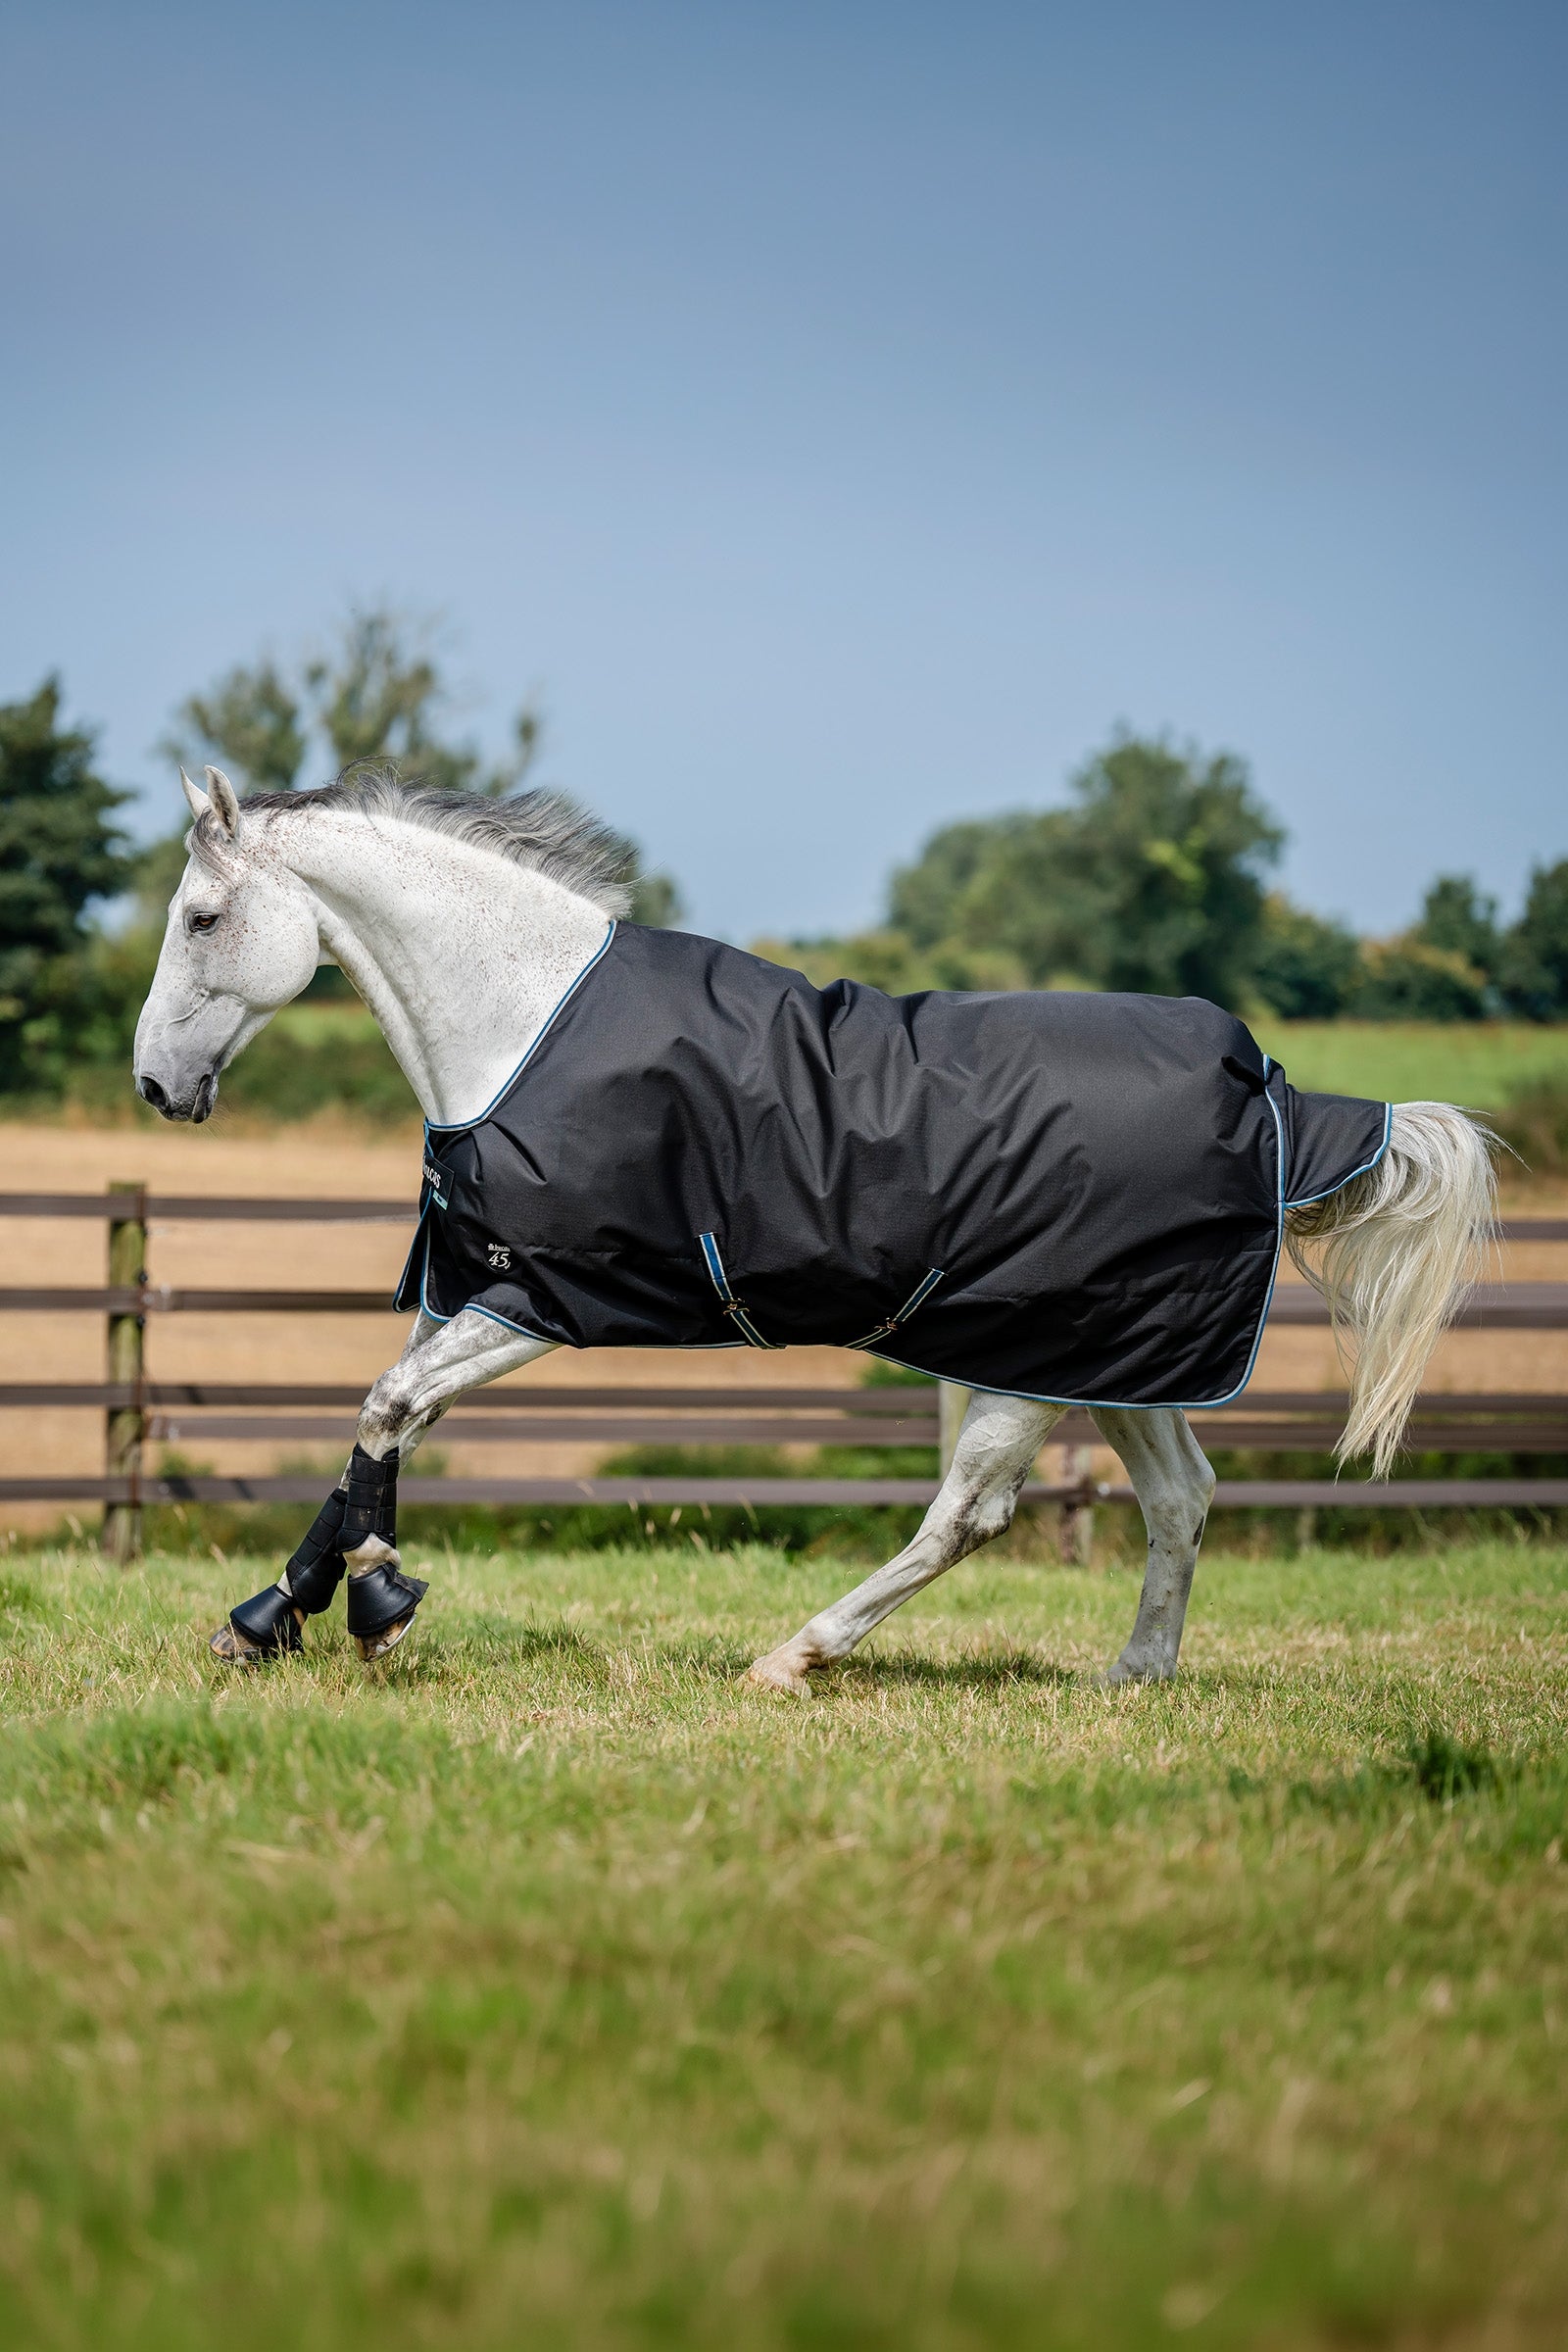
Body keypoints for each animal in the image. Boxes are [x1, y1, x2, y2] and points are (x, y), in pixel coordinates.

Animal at [132, 766, 1496, 1689]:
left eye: (201, 917)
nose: (154, 1086)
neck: (525, 1023)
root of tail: (1264, 1085)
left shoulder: (544, 1301)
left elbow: (386, 1412)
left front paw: (375, 1603)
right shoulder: (473, 1285)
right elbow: (378, 1427)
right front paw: (268, 1616)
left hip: (1028, 1361)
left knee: (970, 1516)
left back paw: (794, 1656)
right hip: (1115, 1357)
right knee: (1182, 1498)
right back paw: (1133, 1677)